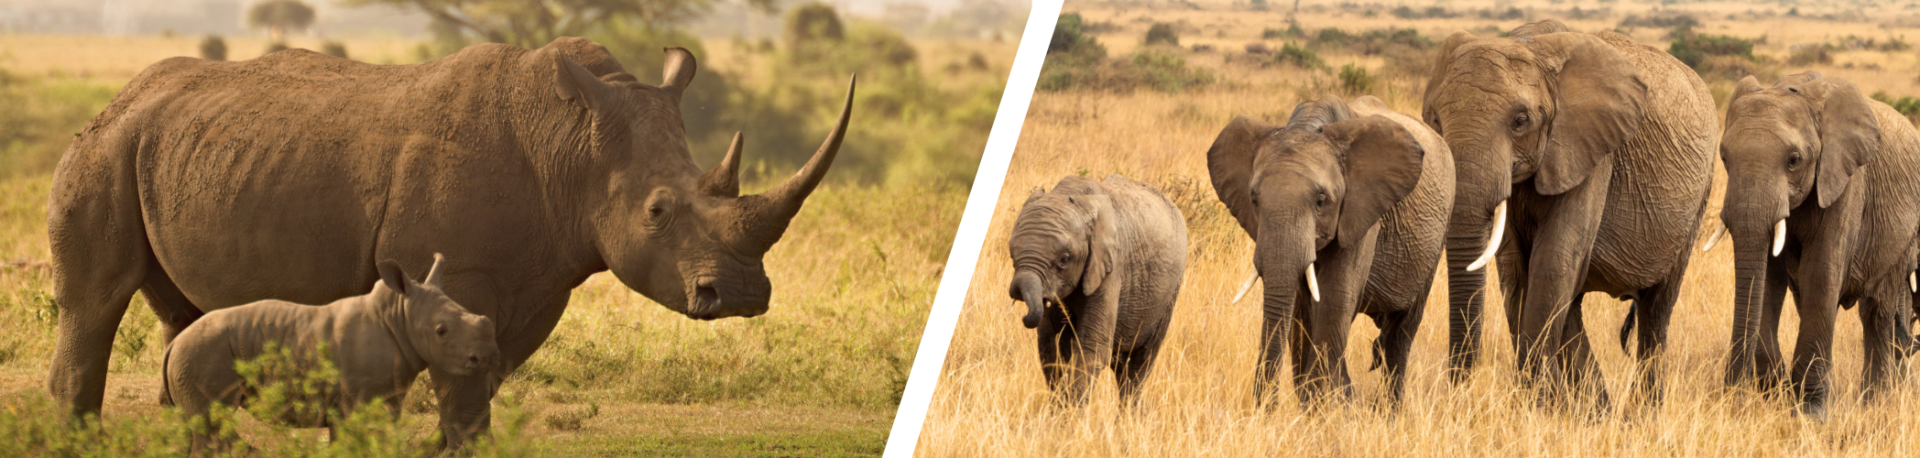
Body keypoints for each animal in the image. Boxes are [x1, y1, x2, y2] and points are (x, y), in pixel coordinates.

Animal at [162, 254, 500, 452]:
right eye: (441, 331)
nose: (486, 357)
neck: (399, 316)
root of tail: (173, 345)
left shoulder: (376, 399)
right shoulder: (359, 400)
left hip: (194, 356)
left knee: (193, 428)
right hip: (202, 353)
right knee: (210, 426)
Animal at [1006, 175, 1188, 405]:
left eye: (1064, 259)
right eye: (1012, 255)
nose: (1023, 311)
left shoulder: (1110, 267)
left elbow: (1090, 349)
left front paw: (1070, 415)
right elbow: (1050, 346)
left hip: (1169, 295)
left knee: (1139, 365)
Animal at [1208, 95, 1455, 407]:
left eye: (1321, 200)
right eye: (1253, 199)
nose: (1264, 410)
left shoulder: (1361, 212)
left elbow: (1335, 301)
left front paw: (1321, 408)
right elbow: (1302, 312)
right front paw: (1315, 407)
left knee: (1402, 330)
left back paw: (1386, 409)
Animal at [1421, 20, 1719, 409]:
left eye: (1520, 121)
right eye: (1435, 120)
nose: (1459, 391)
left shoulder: (1591, 152)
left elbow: (1553, 262)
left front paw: (1531, 408)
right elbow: (1518, 271)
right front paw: (1544, 406)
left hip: (1699, 196)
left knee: (1657, 310)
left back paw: (1640, 414)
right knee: (1574, 304)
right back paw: (1598, 412)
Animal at [1708, 72, 1920, 418]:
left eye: (1794, 160)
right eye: (1724, 158)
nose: (1731, 397)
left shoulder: (1845, 180)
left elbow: (1820, 272)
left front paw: (1809, 412)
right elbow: (1767, 280)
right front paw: (1776, 394)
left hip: (1903, 237)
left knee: (1877, 313)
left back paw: (1874, 404)